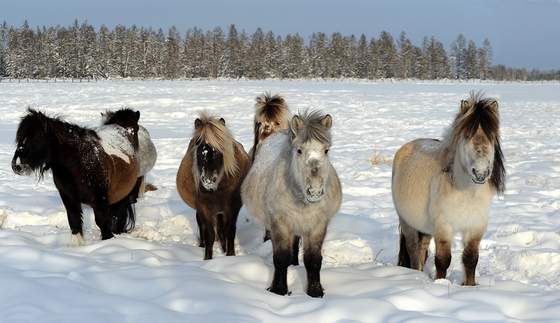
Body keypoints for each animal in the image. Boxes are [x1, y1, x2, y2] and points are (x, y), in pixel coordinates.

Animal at [11, 107, 140, 247]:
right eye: (19, 137)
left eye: (35, 137)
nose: (16, 165)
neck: (79, 163)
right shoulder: (68, 197)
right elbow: (74, 220)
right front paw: (78, 245)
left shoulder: (100, 199)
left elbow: (102, 222)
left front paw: (108, 242)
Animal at [177, 111, 252, 260]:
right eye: (199, 145)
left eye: (220, 148)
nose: (208, 179)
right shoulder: (204, 208)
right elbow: (209, 235)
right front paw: (208, 259)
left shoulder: (232, 207)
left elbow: (229, 232)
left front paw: (230, 255)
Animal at [241, 110, 342, 298]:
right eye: (299, 150)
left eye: (326, 150)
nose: (315, 191)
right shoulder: (280, 223)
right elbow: (281, 258)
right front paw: (279, 290)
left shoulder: (318, 225)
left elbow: (313, 260)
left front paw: (315, 292)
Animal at [392, 91, 506, 286]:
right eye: (466, 135)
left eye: (492, 137)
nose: (481, 173)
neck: (467, 193)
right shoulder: (443, 226)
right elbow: (443, 260)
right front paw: (440, 283)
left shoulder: (476, 227)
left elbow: (471, 258)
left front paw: (470, 285)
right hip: (406, 221)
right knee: (413, 247)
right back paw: (416, 275)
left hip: (425, 226)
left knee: (422, 247)